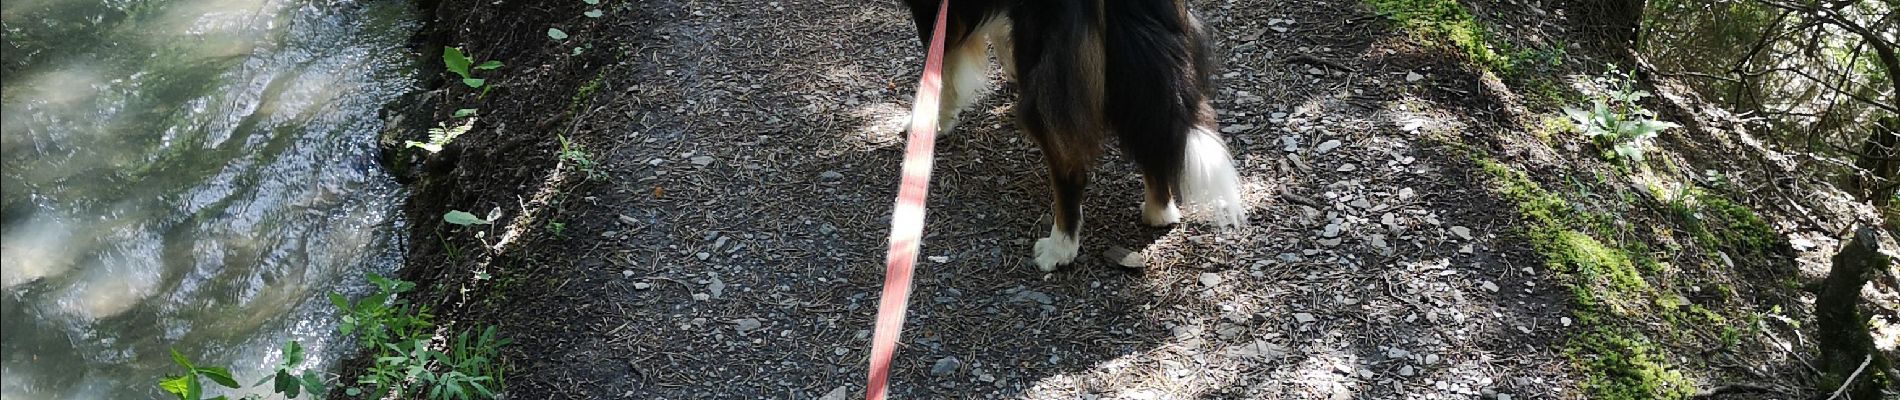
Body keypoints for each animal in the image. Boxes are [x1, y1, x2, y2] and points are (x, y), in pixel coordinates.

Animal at [900, 0, 1246, 271]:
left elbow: (940, 70)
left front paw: (931, 122)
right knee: (1154, 130)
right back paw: (1159, 212)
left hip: (1049, 70)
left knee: (1071, 169)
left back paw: (1059, 248)